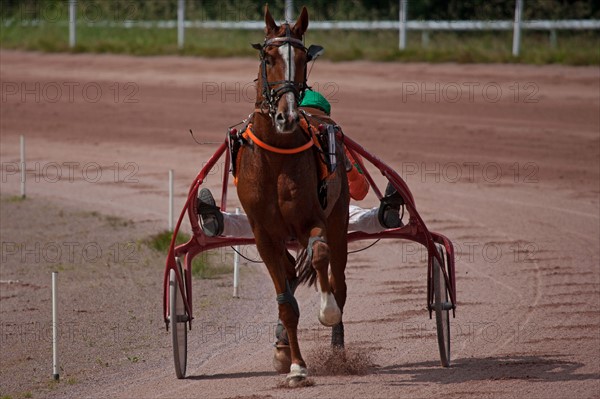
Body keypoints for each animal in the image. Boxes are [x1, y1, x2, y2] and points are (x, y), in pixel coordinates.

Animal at [233, 5, 346, 384]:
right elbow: (286, 303)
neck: (276, 156)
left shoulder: (313, 219)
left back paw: (339, 349)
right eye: (268, 58)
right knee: (291, 279)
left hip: (339, 217)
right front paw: (295, 365)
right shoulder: (264, 235)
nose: (287, 116)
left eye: (302, 58)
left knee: (338, 278)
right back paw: (283, 346)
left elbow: (321, 255)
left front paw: (327, 311)